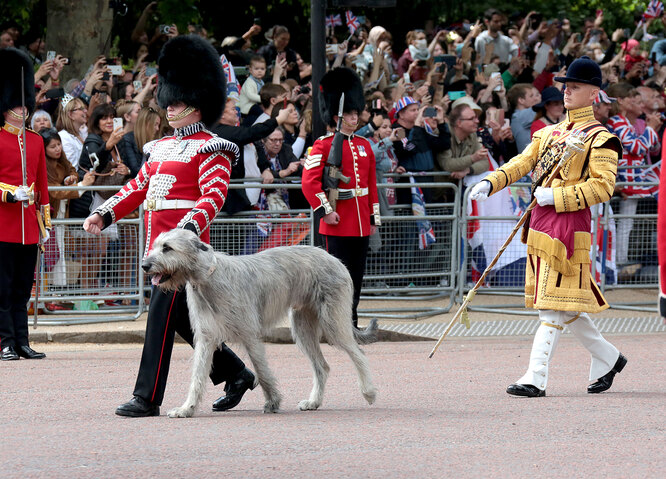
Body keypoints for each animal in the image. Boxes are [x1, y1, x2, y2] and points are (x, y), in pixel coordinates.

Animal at [142, 229, 376, 416]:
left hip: (332, 321)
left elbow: (262, 372)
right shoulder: (206, 337)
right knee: (322, 366)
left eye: (167, 248)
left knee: (358, 353)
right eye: (155, 245)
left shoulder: (249, 334)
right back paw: (314, 401)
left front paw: (273, 401)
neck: (208, 278)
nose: (144, 265)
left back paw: (369, 392)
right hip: (302, 327)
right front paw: (186, 409)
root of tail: (333, 258)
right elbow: (197, 376)